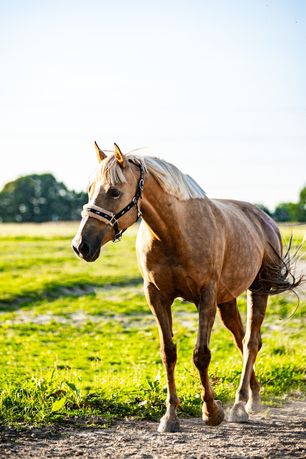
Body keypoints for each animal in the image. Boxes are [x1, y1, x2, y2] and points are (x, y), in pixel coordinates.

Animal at [72, 142, 302, 434]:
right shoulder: (157, 297)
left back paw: (240, 406)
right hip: (227, 301)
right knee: (242, 340)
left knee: (251, 343)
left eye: (114, 191)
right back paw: (254, 398)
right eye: (90, 189)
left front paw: (212, 411)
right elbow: (168, 353)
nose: (81, 245)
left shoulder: (206, 297)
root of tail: (265, 220)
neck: (173, 233)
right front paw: (170, 416)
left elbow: (201, 355)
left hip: (258, 290)